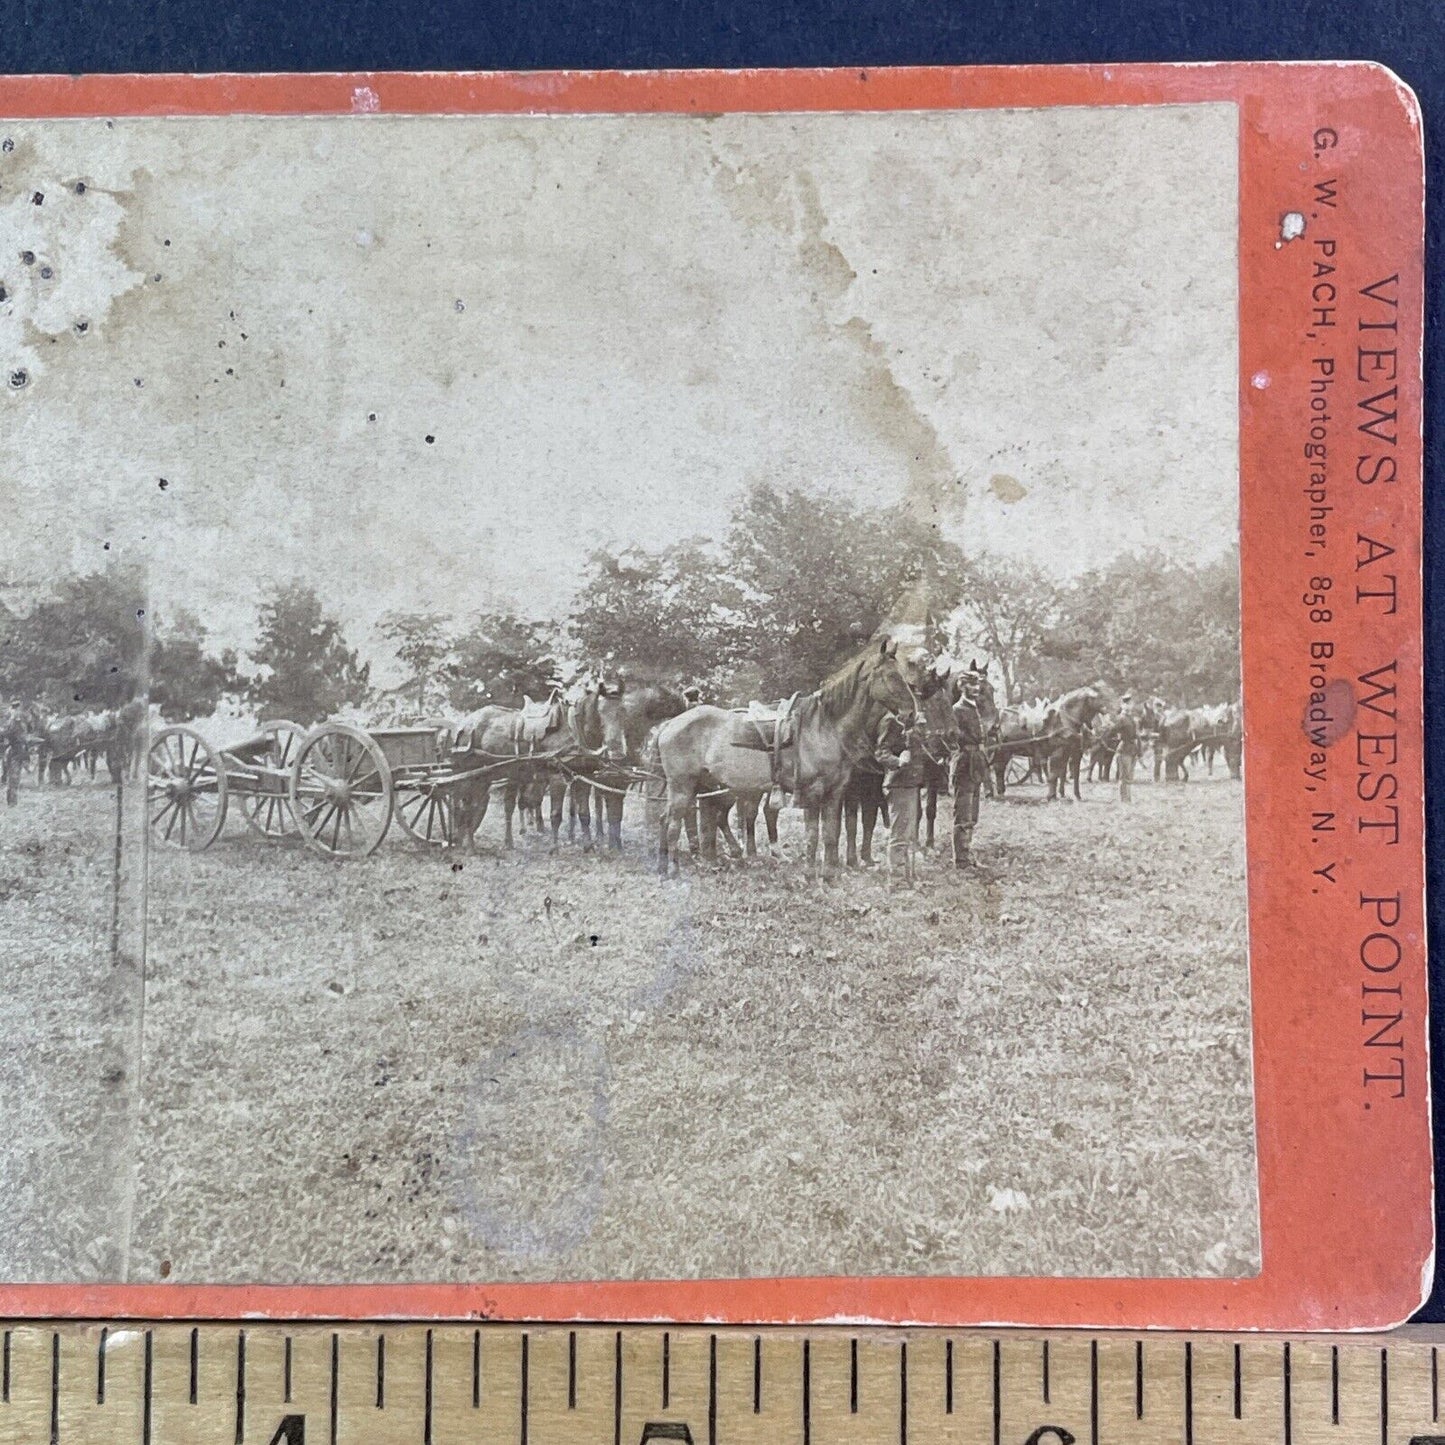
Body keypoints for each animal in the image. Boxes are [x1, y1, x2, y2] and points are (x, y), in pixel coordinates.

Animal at [656, 644, 913, 878]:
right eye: (892, 676)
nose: (910, 713)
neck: (823, 728)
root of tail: (669, 724)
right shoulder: (812, 792)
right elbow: (813, 835)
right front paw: (810, 874)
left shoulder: (835, 793)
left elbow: (832, 833)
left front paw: (830, 874)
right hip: (683, 786)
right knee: (673, 823)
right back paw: (673, 870)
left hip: (706, 787)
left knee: (680, 819)